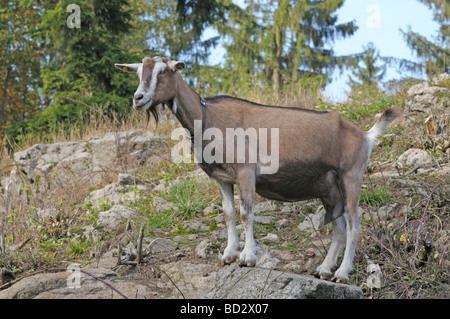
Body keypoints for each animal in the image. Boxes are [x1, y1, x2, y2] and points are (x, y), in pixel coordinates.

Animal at [114, 56, 400, 284]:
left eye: (163, 71)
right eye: (139, 73)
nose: (138, 98)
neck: (209, 118)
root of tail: (366, 136)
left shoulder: (246, 172)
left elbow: (246, 213)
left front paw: (248, 257)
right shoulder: (222, 178)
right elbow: (228, 214)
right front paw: (228, 254)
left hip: (351, 175)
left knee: (353, 225)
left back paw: (342, 273)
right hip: (328, 188)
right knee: (339, 228)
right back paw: (324, 269)